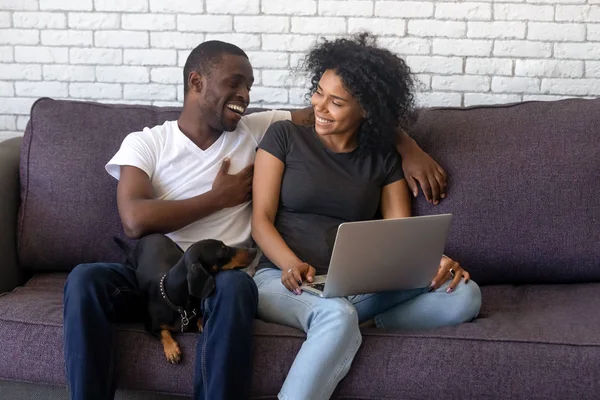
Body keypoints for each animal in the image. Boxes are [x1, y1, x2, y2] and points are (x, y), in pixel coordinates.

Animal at [116, 233, 256, 364]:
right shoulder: (150, 326)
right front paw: (172, 350)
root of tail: (150, 235)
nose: (254, 251)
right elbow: (164, 332)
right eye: (223, 249)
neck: (179, 307)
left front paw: (200, 324)